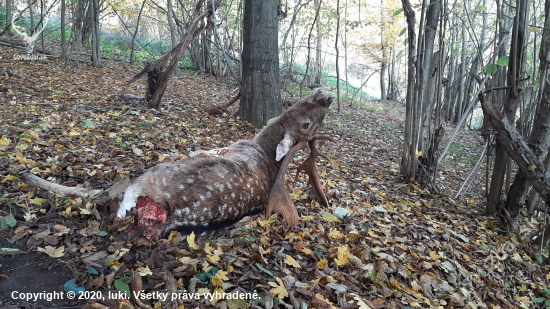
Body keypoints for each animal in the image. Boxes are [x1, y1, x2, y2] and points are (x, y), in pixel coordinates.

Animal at [21, 89, 338, 238]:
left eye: (307, 124)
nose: (328, 97)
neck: (260, 144)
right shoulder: (228, 146)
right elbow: (208, 148)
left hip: (155, 174)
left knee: (123, 191)